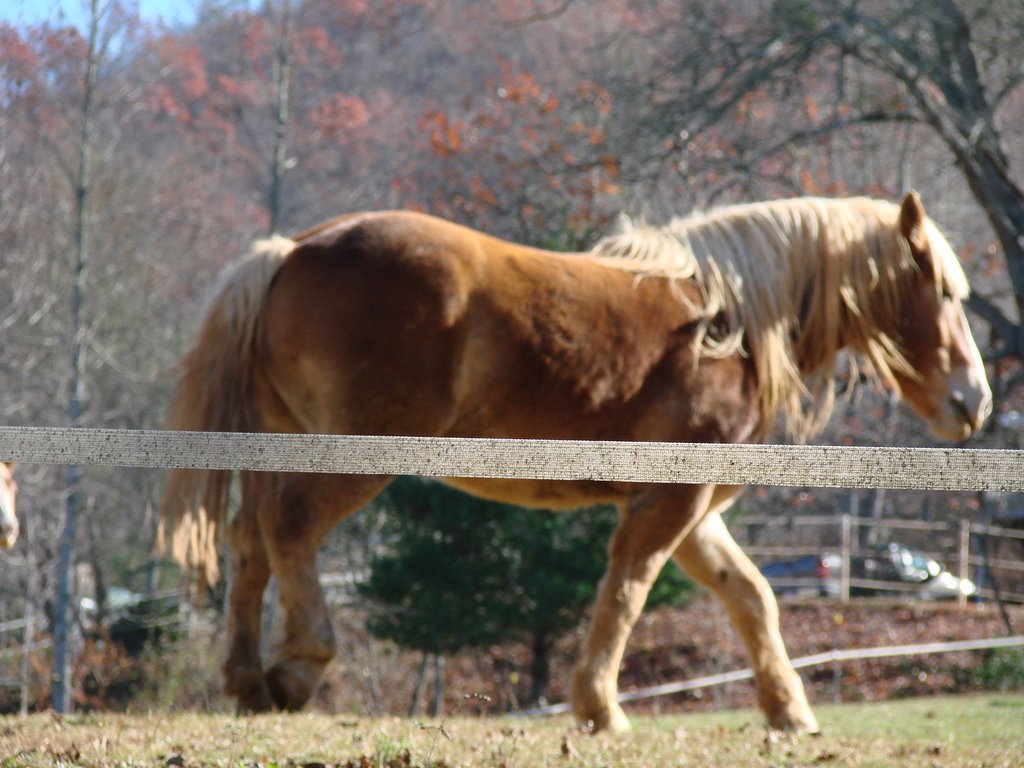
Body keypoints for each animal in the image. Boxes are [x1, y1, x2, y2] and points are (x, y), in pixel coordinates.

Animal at [161, 192, 991, 733]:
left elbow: (751, 597)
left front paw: (788, 711)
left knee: (249, 543)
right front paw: (600, 707)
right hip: (355, 456)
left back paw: (246, 679)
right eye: (947, 293)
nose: (975, 399)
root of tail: (291, 251)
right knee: (290, 527)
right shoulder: (668, 504)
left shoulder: (691, 512)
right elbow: (626, 592)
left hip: (277, 444)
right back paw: (298, 666)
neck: (723, 325)